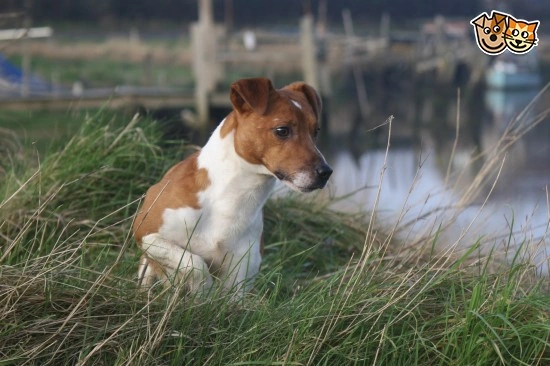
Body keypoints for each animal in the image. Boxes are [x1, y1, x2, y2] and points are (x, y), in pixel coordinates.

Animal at [134, 77, 332, 298]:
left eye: (315, 131)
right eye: (282, 130)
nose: (325, 172)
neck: (232, 198)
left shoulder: (241, 275)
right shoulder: (146, 233)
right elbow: (194, 262)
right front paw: (203, 290)